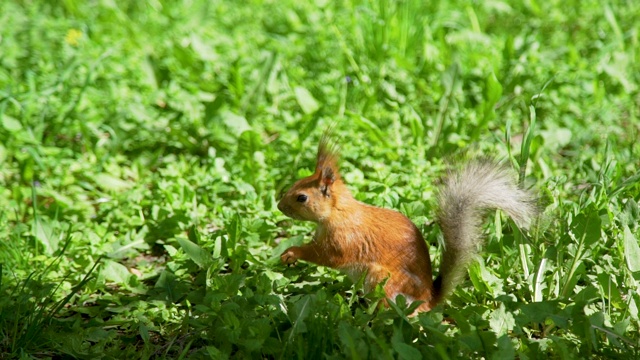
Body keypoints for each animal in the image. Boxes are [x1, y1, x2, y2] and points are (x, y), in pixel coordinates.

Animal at [278, 131, 536, 312]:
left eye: (302, 197)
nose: (280, 206)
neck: (338, 213)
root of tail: (428, 300)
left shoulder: (344, 240)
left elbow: (327, 256)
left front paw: (293, 252)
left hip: (382, 280)